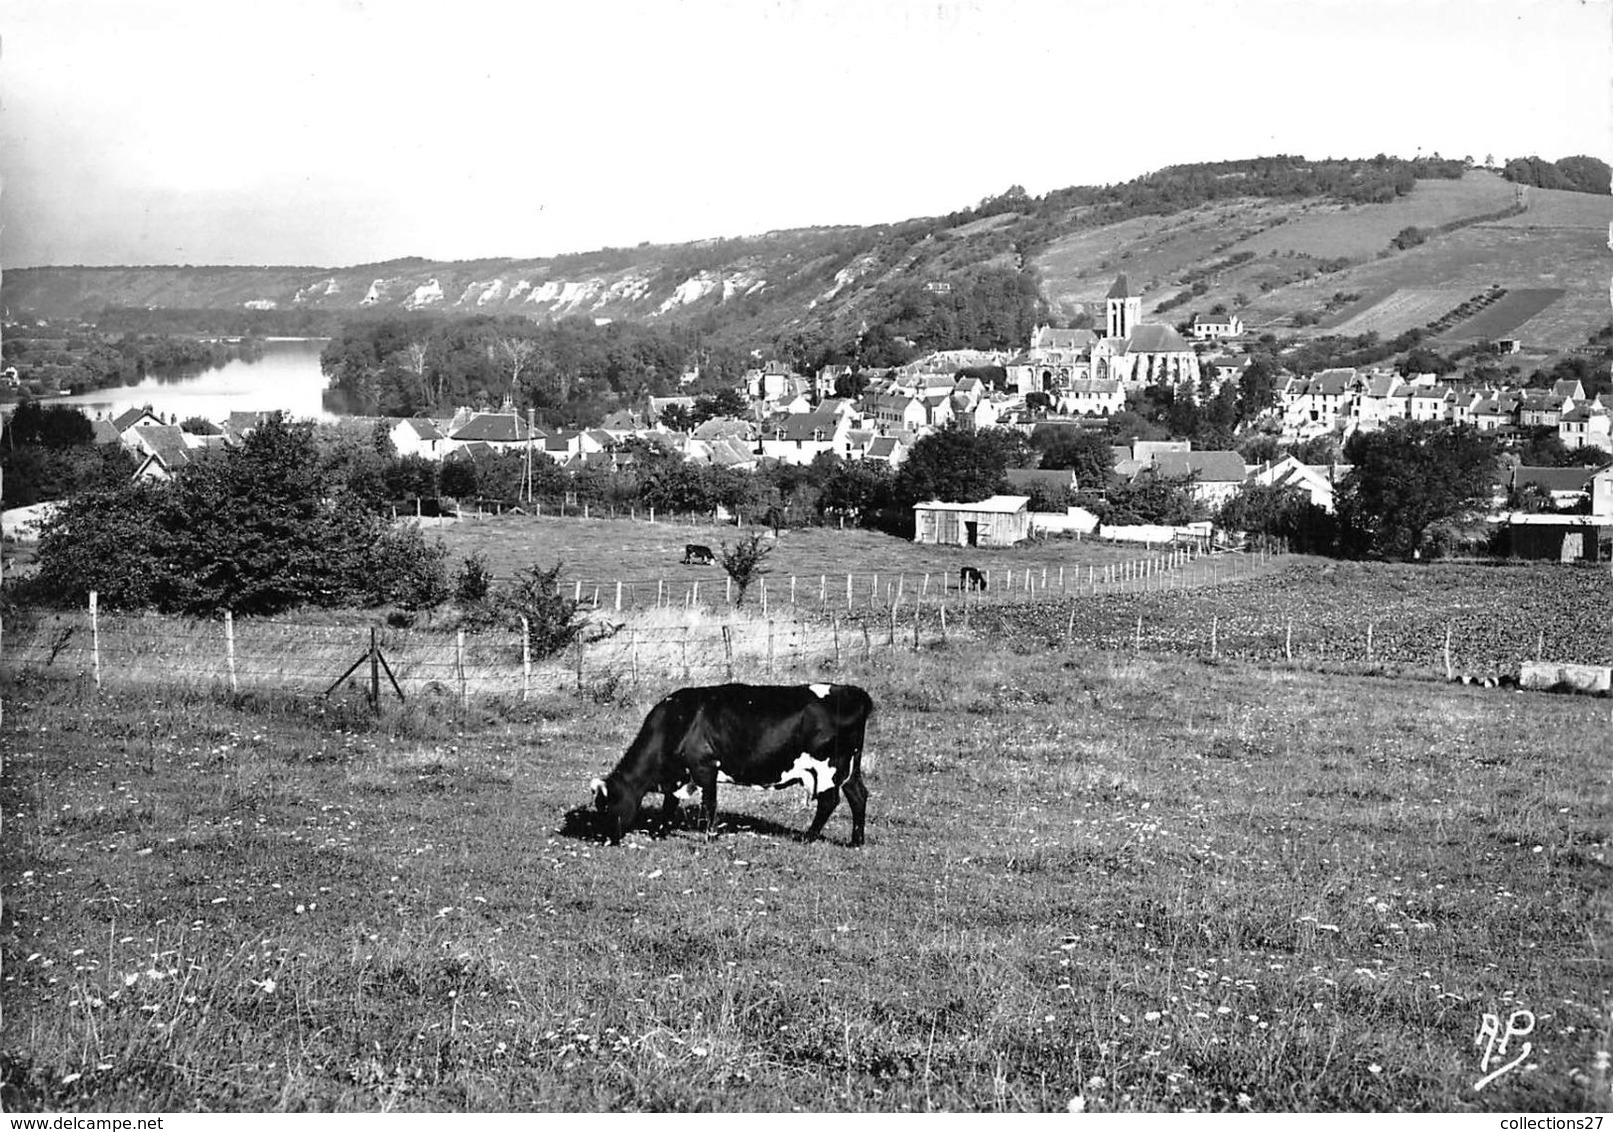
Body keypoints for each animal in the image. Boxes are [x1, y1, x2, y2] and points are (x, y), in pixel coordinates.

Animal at [590, 683, 877, 851]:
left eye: (610, 806)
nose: (603, 839)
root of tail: (851, 691)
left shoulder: (705, 768)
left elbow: (709, 805)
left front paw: (710, 837)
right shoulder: (679, 776)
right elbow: (669, 804)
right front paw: (661, 832)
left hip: (829, 767)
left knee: (829, 800)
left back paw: (807, 837)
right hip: (850, 766)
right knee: (858, 795)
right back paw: (856, 841)